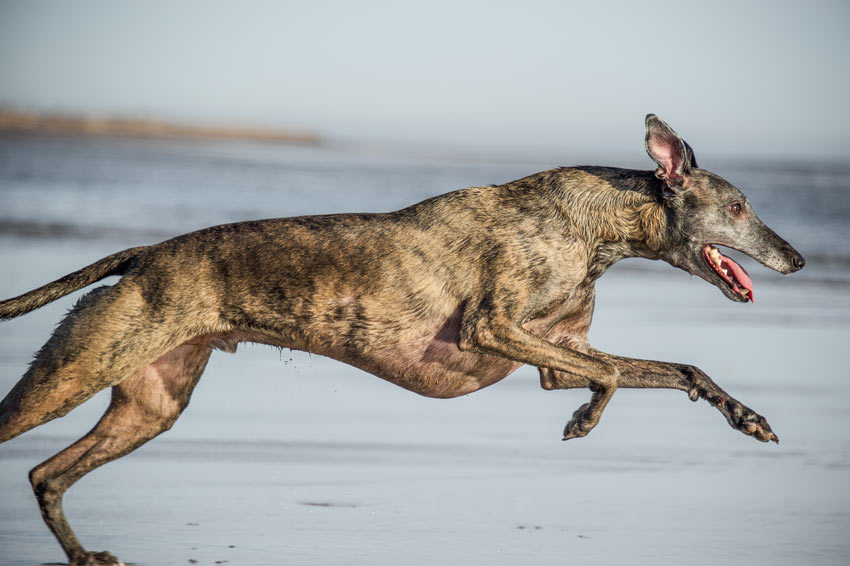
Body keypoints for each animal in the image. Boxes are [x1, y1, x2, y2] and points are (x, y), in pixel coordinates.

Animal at [0, 114, 800, 564]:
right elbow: (611, 376)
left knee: (46, 475)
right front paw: (585, 420)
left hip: (150, 403)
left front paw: (748, 417)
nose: (797, 258)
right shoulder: (495, 327)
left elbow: (675, 368)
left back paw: (85, 556)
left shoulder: (553, 353)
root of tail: (142, 256)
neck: (594, 223)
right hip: (74, 371)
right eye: (739, 206)